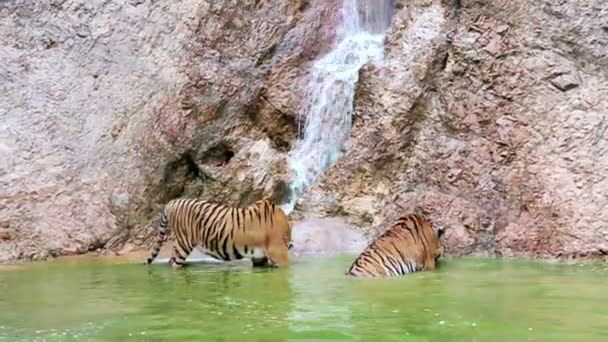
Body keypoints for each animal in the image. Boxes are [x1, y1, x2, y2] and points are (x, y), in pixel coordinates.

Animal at [145, 198, 292, 268]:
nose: (291, 245)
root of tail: (173, 202)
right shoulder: (279, 253)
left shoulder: (259, 258)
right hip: (183, 244)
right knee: (175, 264)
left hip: (177, 245)